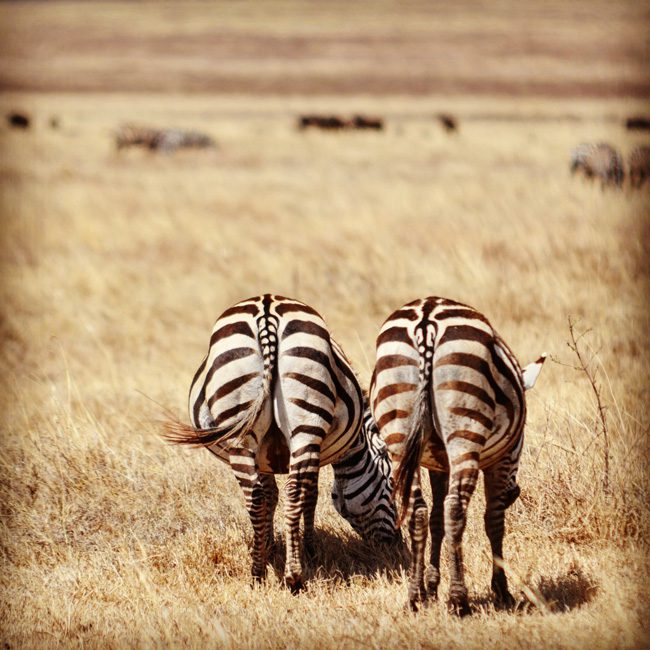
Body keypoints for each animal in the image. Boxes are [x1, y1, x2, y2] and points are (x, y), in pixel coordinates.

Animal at [165, 294, 398, 592]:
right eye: (391, 485)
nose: (394, 545)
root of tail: (266, 312)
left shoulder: (265, 457)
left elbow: (271, 495)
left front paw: (268, 547)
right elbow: (307, 496)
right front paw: (303, 549)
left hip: (248, 427)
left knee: (258, 495)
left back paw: (262, 573)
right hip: (303, 426)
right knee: (293, 492)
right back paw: (291, 575)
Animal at [368, 298, 544, 612]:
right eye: (523, 439)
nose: (515, 493)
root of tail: (426, 321)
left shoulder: (438, 463)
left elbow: (435, 518)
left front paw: (431, 586)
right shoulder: (501, 460)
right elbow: (493, 521)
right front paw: (502, 591)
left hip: (399, 432)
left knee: (418, 511)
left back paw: (414, 596)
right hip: (465, 431)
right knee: (456, 509)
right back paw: (458, 600)